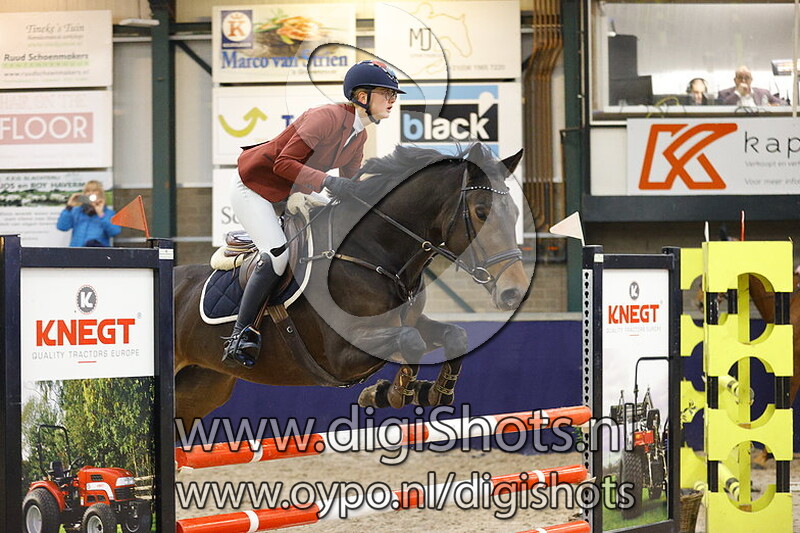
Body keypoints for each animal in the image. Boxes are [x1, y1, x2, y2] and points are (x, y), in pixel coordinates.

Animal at [173, 143, 530, 423]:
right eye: (481, 211)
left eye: (515, 213)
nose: (513, 292)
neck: (373, 254)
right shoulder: (342, 354)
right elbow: (410, 342)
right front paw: (390, 393)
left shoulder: (406, 320)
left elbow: (454, 336)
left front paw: (431, 393)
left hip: (201, 390)